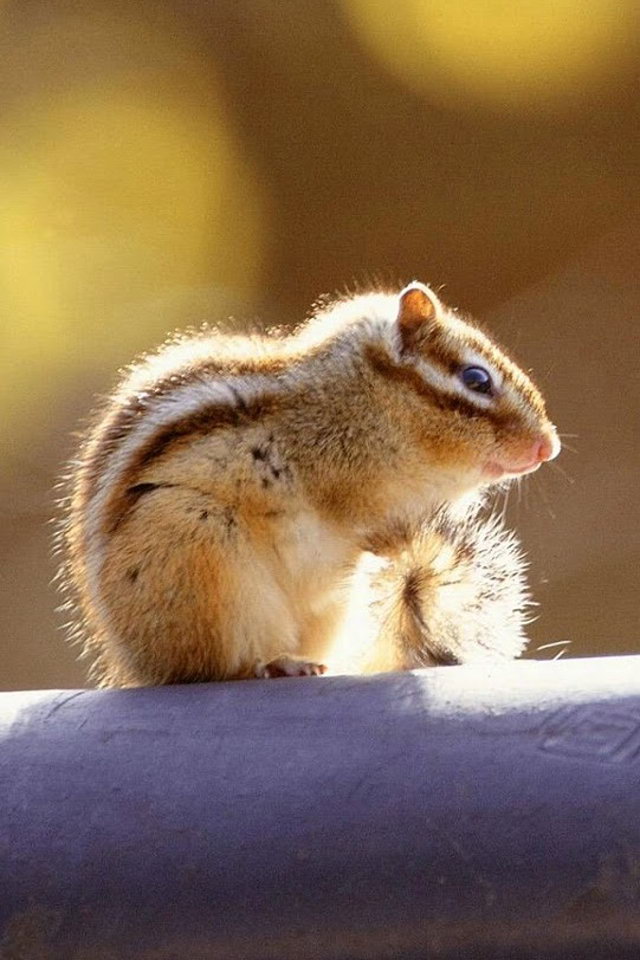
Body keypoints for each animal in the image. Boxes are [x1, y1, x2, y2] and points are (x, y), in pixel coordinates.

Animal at [58, 282, 560, 687]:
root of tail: (137, 666)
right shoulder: (341, 477)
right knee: (214, 668)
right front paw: (393, 541)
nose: (548, 446)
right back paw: (274, 664)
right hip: (201, 553)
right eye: (476, 379)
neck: (365, 398)